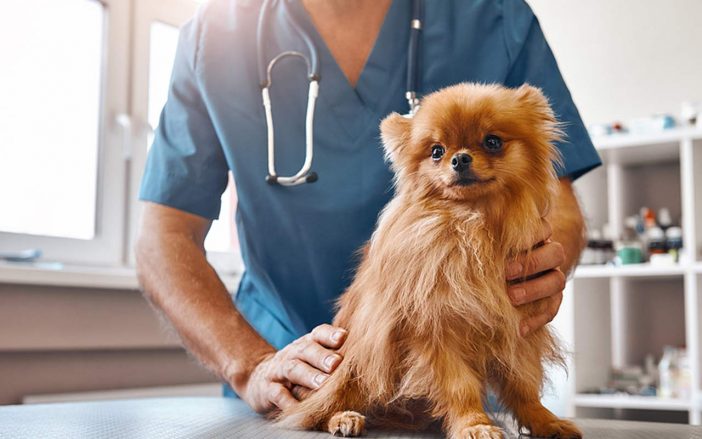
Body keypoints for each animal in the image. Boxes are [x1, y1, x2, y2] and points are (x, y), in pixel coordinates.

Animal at [278, 83, 584, 439]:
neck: (472, 225)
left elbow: (523, 385)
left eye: (492, 142)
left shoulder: (518, 328)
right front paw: (474, 424)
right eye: (436, 151)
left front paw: (545, 420)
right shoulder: (435, 332)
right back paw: (343, 418)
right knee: (319, 407)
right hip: (351, 360)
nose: (460, 158)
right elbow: (459, 387)